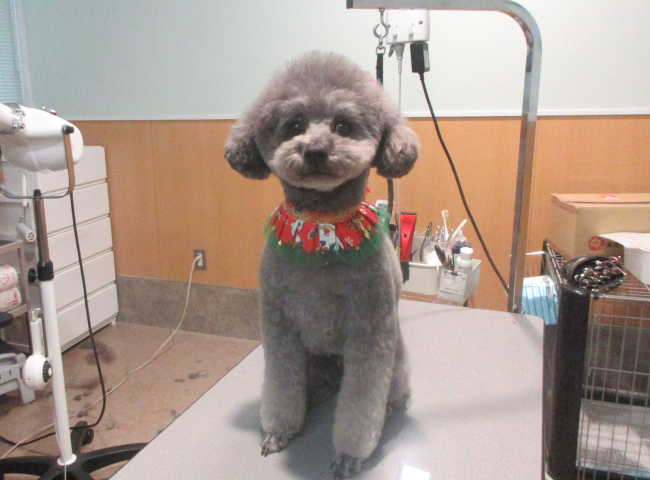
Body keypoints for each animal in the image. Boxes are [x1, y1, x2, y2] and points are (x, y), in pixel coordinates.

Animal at [224, 51, 419, 479]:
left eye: (343, 125)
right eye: (294, 125)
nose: (314, 150)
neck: (322, 226)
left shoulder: (370, 333)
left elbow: (361, 405)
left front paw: (350, 455)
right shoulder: (278, 327)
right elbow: (281, 387)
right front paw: (279, 432)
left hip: (396, 360)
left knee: (391, 390)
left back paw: (391, 407)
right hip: (312, 361)